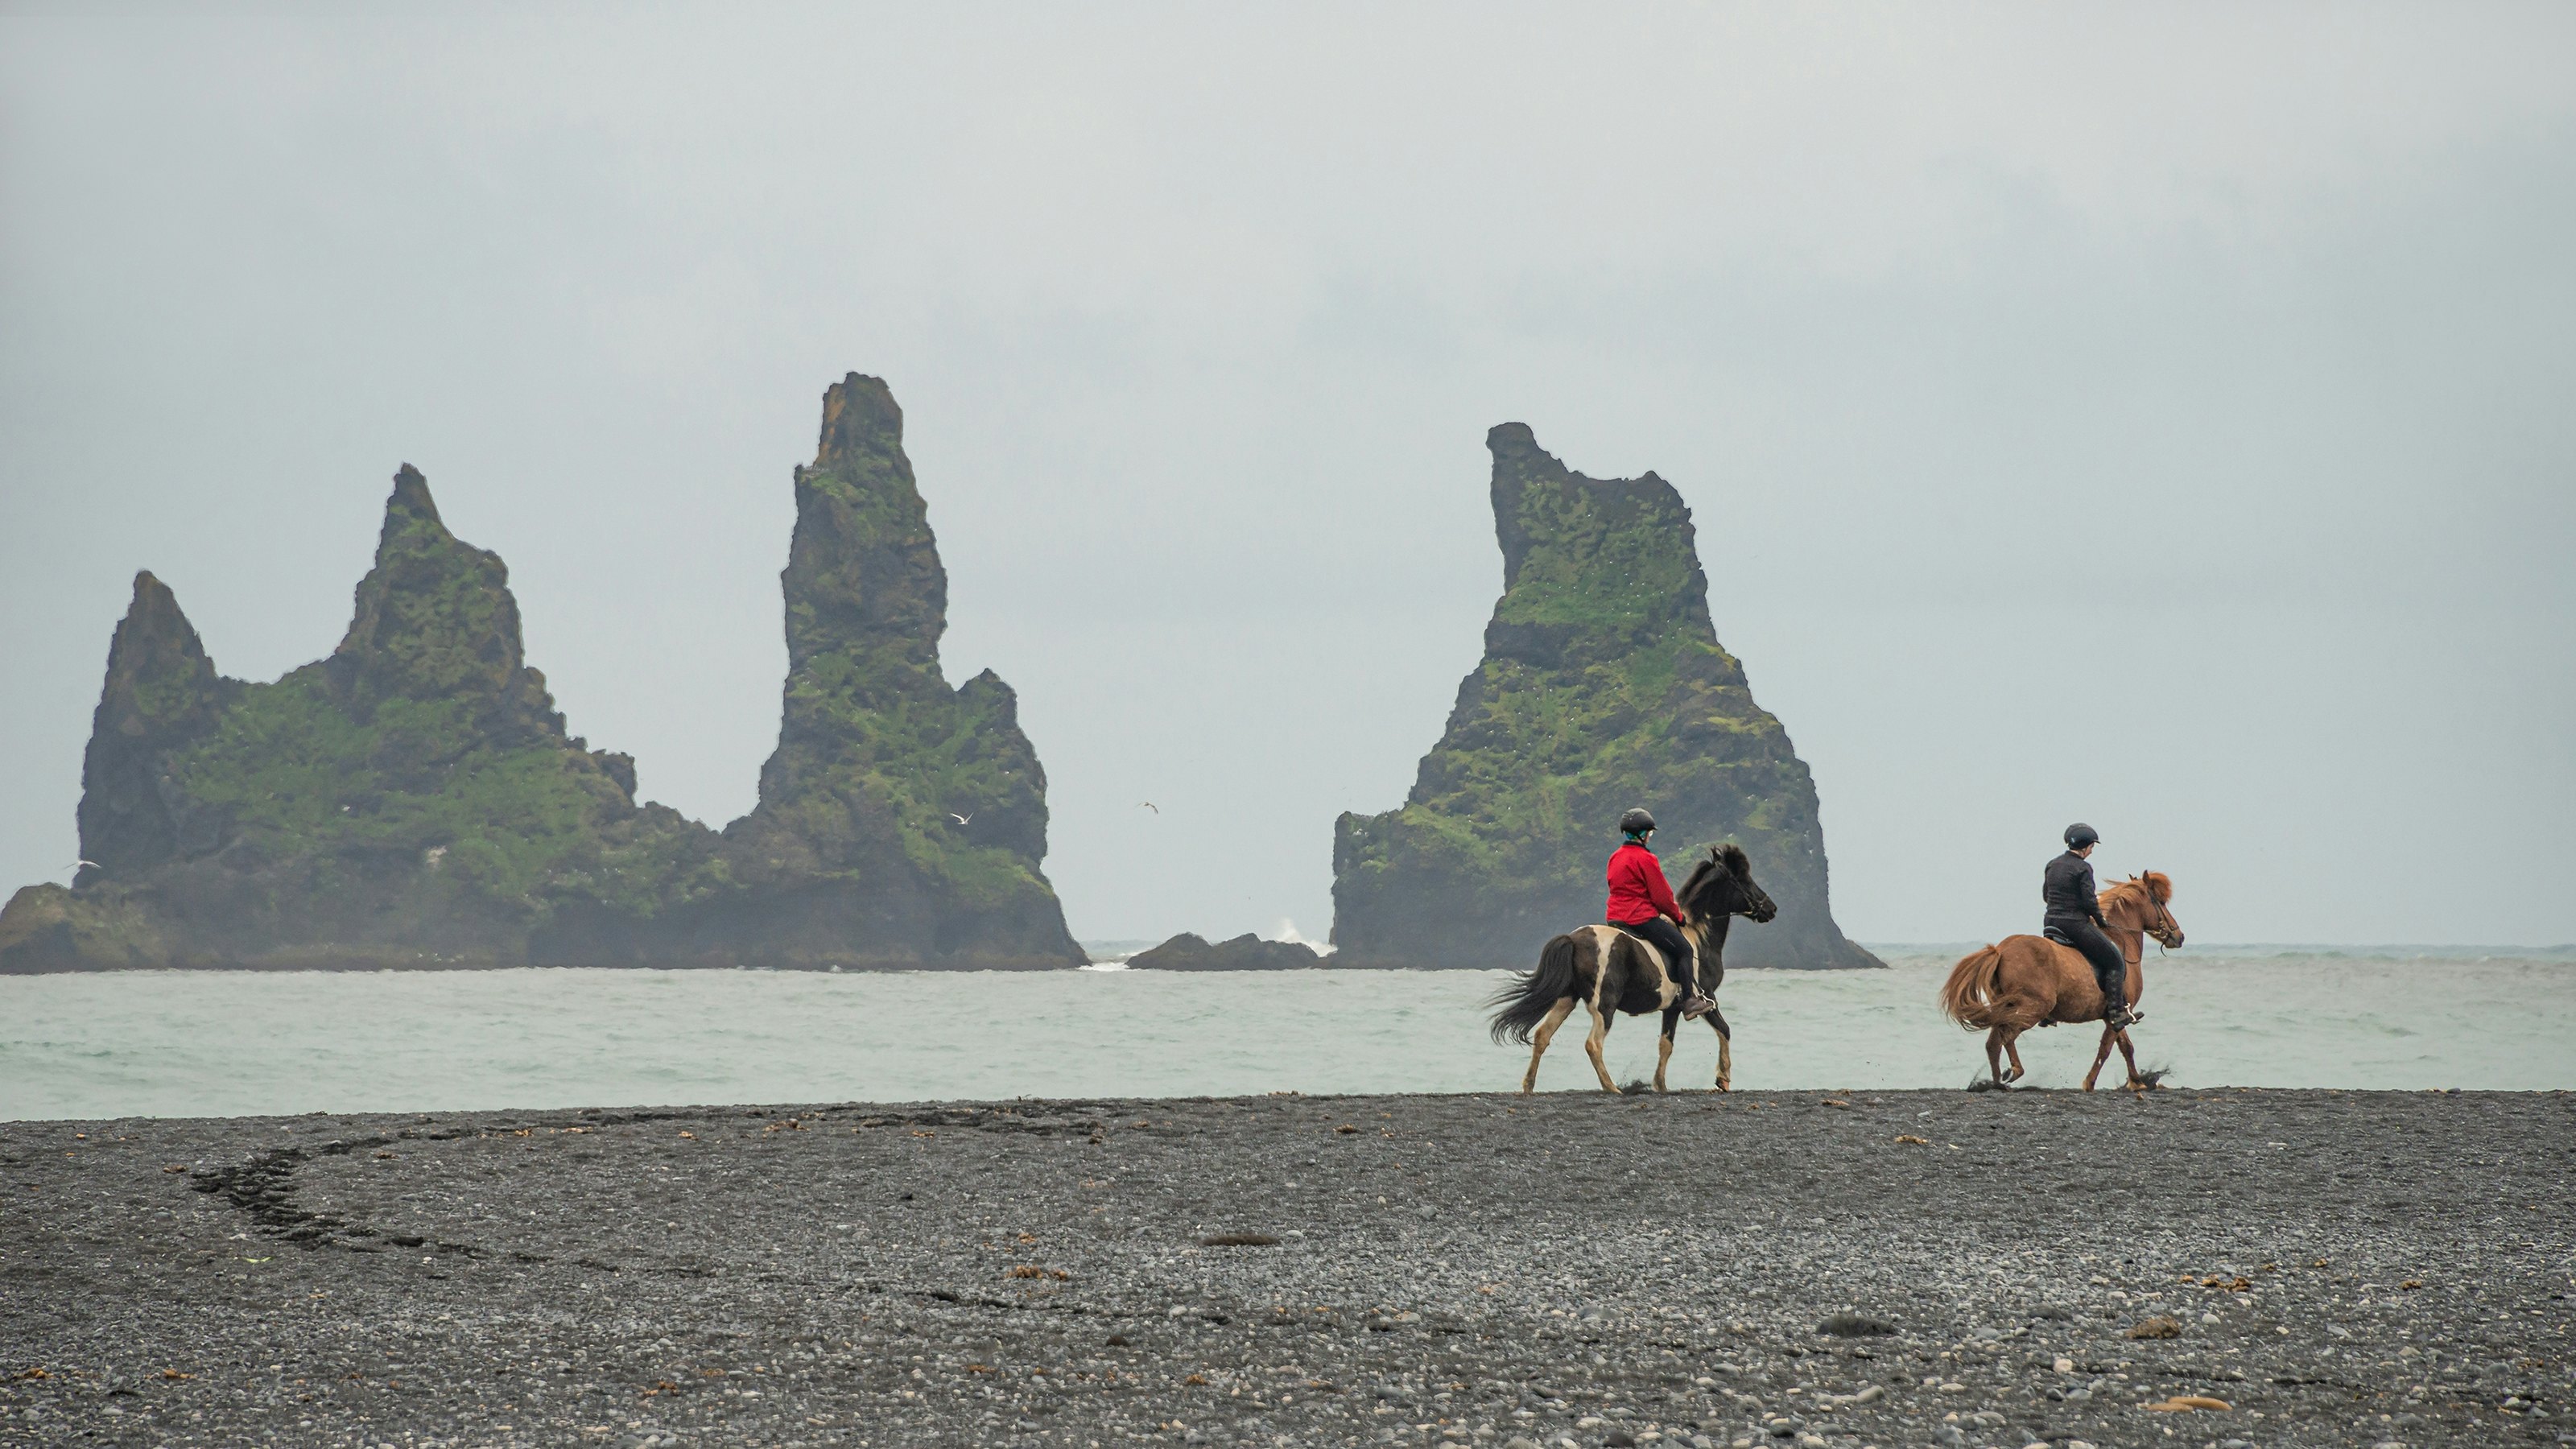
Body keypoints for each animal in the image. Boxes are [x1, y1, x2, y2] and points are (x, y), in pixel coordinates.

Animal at [1494, 840, 1772, 1088]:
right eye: (1745, 880)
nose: (1771, 908)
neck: (1696, 934)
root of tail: (1573, 939)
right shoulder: (1707, 996)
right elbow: (1724, 1030)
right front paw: (1723, 1078)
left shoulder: (1673, 1007)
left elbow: (1666, 1045)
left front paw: (1660, 1084)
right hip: (1604, 1004)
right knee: (1593, 1044)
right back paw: (1611, 1087)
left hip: (1567, 998)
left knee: (1543, 1035)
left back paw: (1528, 1085)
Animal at [1937, 866, 2184, 1083]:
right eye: (2161, 902)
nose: (2179, 936)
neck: (2120, 939)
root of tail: (2001, 950)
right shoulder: (2117, 1013)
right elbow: (2106, 1050)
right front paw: (2090, 1083)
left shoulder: (2113, 1016)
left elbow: (2126, 1047)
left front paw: (2137, 1082)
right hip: (2034, 1007)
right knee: (2007, 1034)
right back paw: (2014, 1071)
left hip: (2008, 1005)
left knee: (1993, 1042)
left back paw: (1996, 1082)